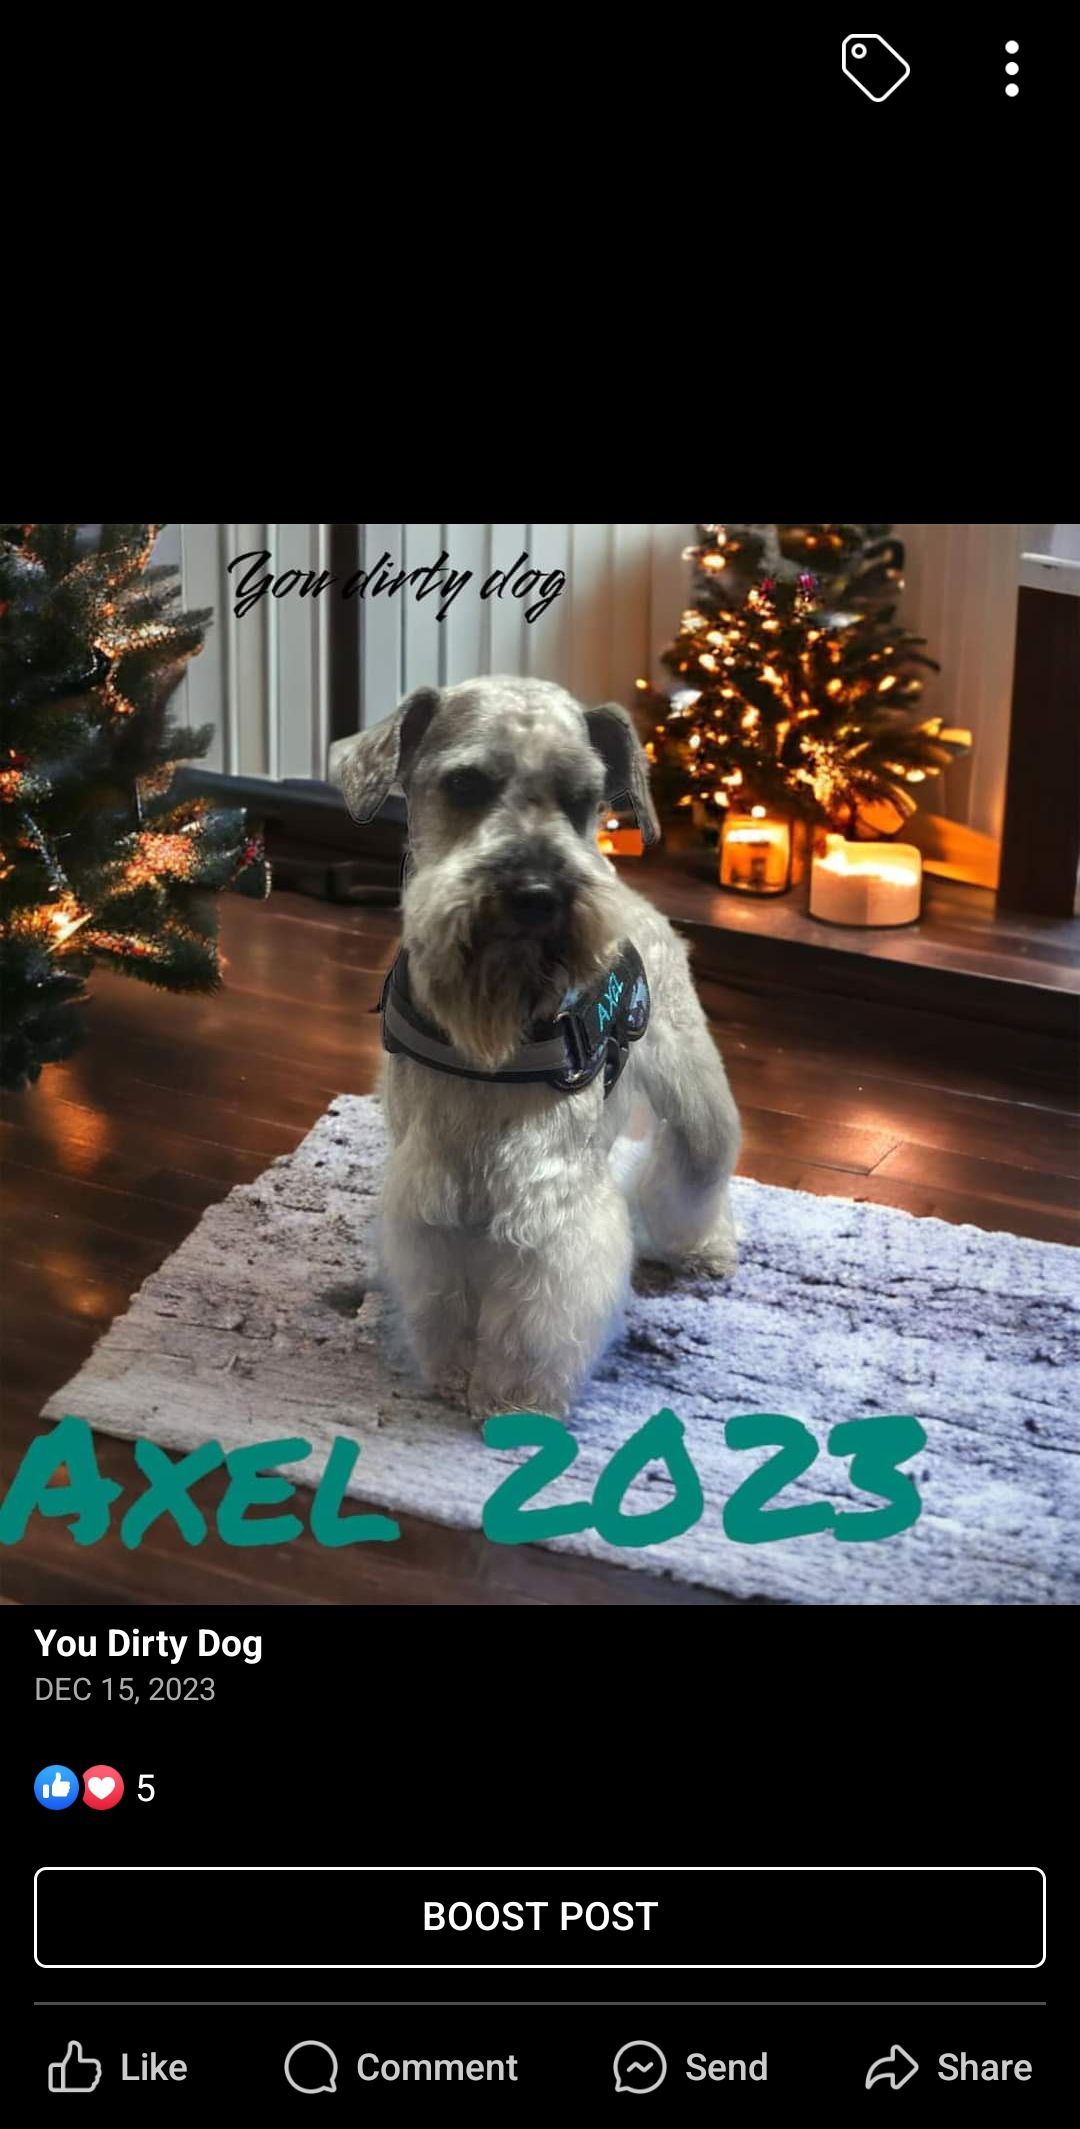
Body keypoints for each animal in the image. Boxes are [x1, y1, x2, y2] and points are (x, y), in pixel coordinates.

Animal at [330, 672, 741, 1422]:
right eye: (465, 784)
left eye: (582, 798)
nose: (538, 893)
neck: (490, 1041)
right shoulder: (435, 1193)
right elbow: (448, 1295)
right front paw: (454, 1371)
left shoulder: (548, 1197)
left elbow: (536, 1313)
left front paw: (514, 1399)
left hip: (700, 1111)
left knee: (695, 1177)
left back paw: (705, 1247)